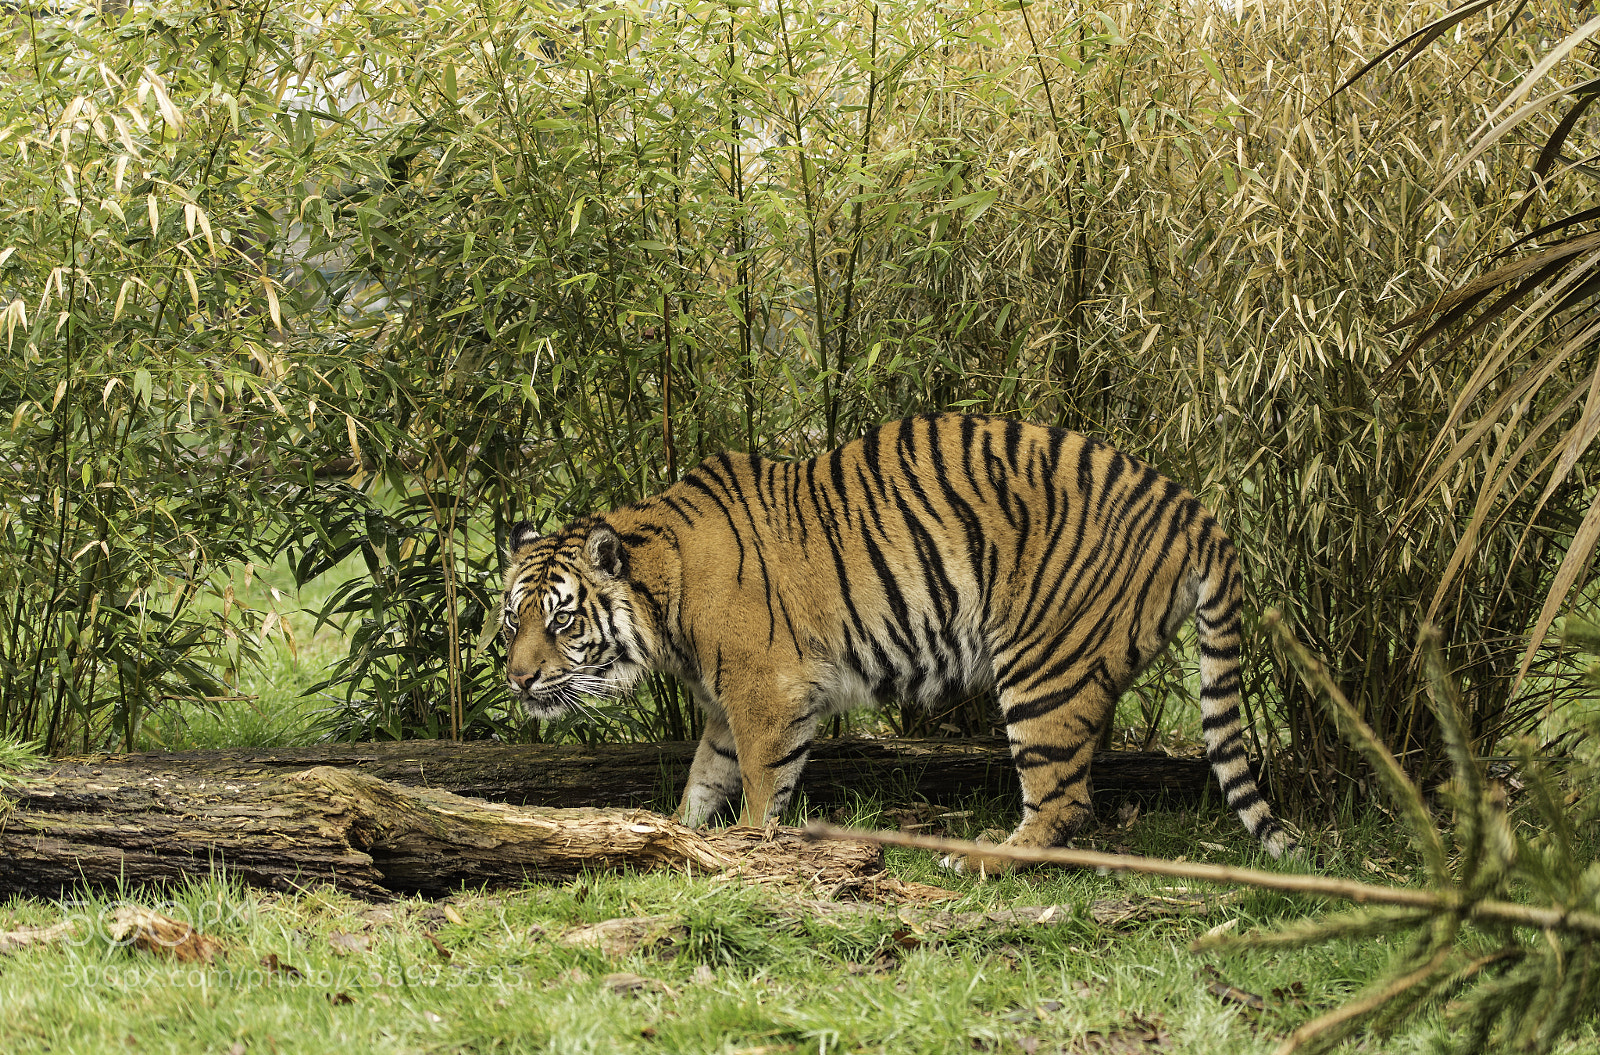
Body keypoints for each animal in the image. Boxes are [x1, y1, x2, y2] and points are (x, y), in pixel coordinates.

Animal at [500, 414, 1293, 867]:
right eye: (513, 621)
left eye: (563, 621)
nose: (518, 679)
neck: (662, 597)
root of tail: (1192, 507)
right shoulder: (726, 706)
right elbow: (705, 778)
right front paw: (674, 833)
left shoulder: (767, 694)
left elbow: (759, 784)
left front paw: (747, 848)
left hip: (1044, 666)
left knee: (1064, 802)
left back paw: (978, 860)